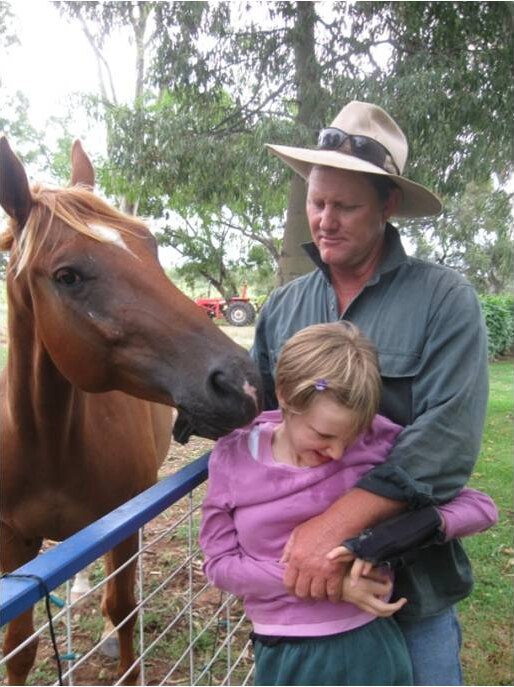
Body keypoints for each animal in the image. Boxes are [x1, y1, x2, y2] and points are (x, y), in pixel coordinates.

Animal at [0, 137, 262, 684]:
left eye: (150, 246)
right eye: (67, 275)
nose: (241, 383)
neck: (47, 444)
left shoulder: (121, 529)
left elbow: (122, 610)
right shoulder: (14, 548)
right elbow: (19, 648)